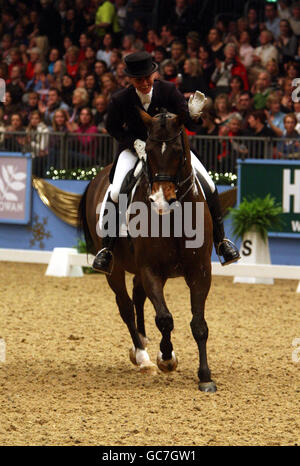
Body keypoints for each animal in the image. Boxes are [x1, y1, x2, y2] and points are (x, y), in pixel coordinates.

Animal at [78, 111, 217, 392]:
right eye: (149, 151)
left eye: (178, 151)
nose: (161, 201)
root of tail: (98, 177)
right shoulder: (151, 269)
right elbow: (164, 318)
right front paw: (167, 358)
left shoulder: (200, 271)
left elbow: (199, 324)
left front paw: (205, 376)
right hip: (115, 269)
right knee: (126, 306)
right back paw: (142, 356)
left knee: (137, 296)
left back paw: (142, 343)